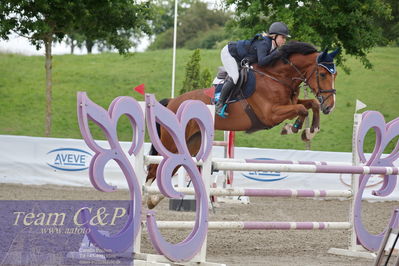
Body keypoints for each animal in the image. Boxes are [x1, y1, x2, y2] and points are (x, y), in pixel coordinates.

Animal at [145, 41, 340, 208]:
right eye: (323, 74)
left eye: (335, 74)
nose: (330, 106)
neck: (277, 77)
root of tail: (172, 102)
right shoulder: (270, 114)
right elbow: (301, 109)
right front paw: (293, 128)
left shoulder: (288, 104)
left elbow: (311, 104)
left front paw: (310, 131)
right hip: (172, 141)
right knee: (154, 169)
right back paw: (146, 199)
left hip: (191, 143)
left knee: (170, 168)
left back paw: (155, 199)